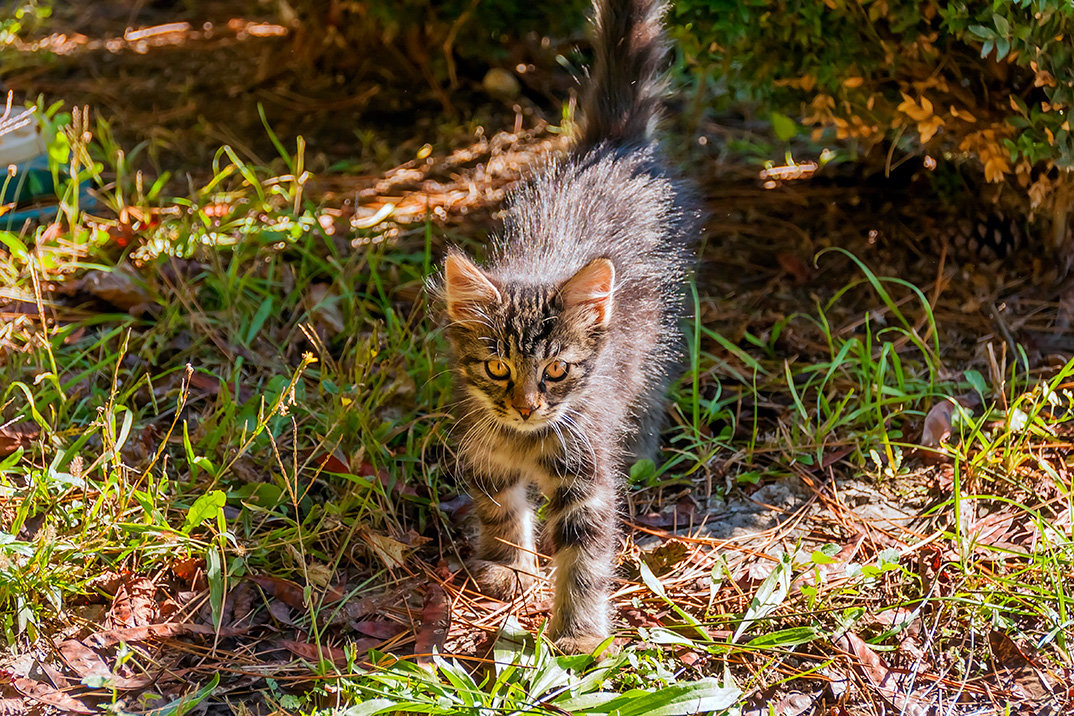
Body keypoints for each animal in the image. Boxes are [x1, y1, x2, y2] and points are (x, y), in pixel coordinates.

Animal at [440, 0, 700, 652]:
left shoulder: (588, 479)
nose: (527, 405)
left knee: (651, 390)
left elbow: (584, 557)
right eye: (497, 367)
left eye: (556, 370)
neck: (525, 439)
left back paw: (642, 449)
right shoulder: (483, 452)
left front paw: (577, 637)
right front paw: (507, 565)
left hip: (656, 332)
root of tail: (611, 148)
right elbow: (499, 508)